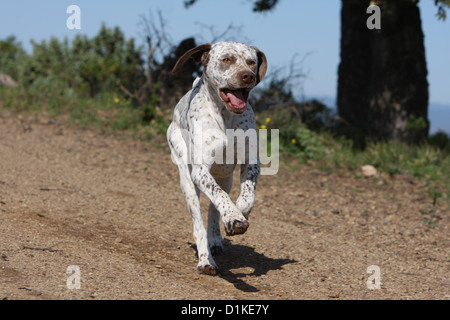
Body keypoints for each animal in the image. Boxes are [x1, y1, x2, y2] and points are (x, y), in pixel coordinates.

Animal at [168, 40, 268, 276]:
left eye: (251, 62)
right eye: (227, 59)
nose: (247, 76)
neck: (226, 117)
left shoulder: (251, 163)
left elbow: (246, 197)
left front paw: (239, 213)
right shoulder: (200, 171)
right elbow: (219, 197)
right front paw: (233, 217)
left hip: (225, 177)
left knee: (214, 209)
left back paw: (215, 238)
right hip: (188, 182)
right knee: (199, 222)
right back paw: (206, 260)